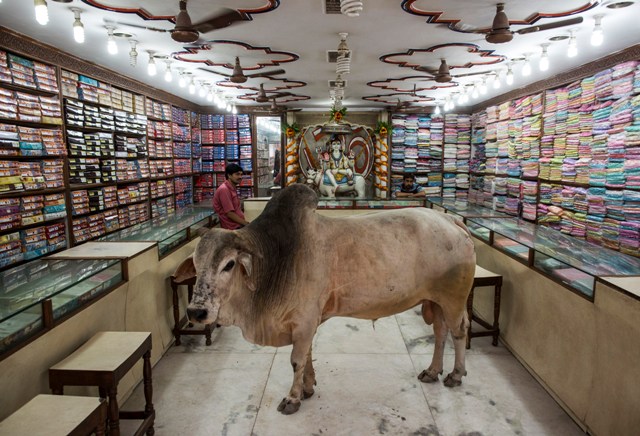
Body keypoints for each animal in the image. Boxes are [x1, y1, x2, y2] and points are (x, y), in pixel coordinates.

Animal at [185, 183, 476, 415]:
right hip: (436, 301)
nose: (196, 311)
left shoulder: (303, 321)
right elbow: (307, 356)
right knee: (440, 333)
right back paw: (433, 371)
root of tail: (451, 221)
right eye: (196, 263)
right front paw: (307, 388)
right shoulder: (305, 324)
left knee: (459, 331)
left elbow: (296, 360)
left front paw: (292, 398)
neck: (275, 258)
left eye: (229, 264)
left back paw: (455, 374)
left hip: (453, 299)